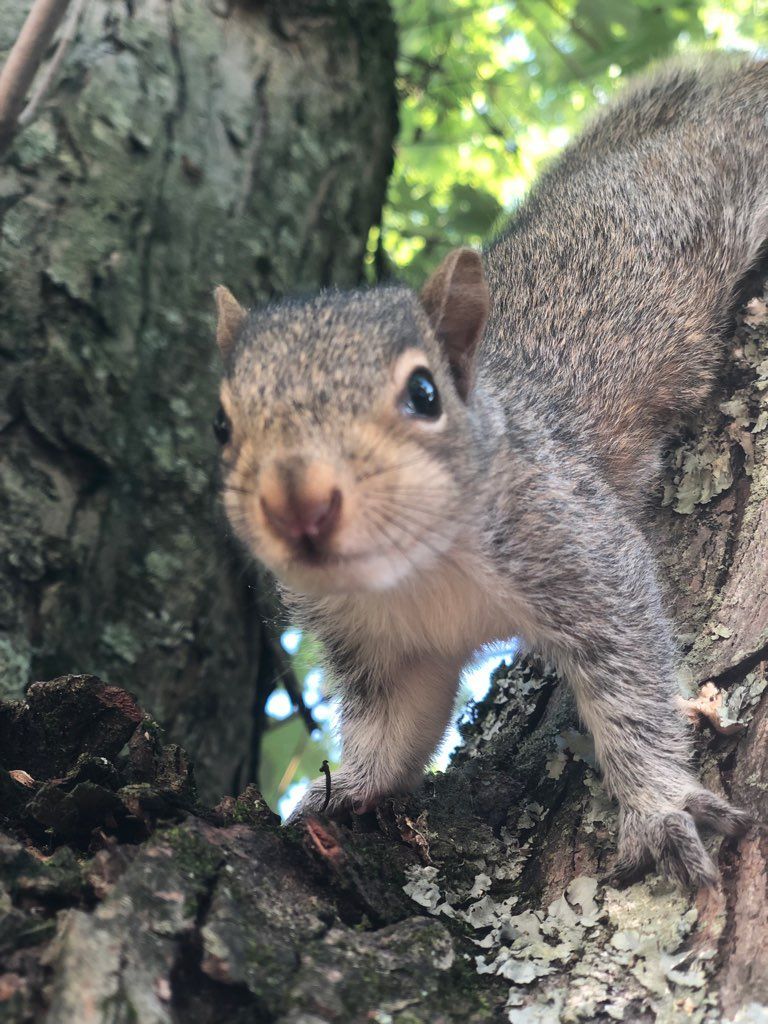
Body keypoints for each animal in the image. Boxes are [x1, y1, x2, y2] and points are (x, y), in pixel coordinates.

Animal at [212, 53, 766, 888]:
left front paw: (658, 805)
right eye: (221, 424)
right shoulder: (382, 647)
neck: (417, 570)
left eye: (424, 393)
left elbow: (630, 682)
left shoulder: (579, 543)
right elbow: (394, 726)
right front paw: (342, 793)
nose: (297, 503)